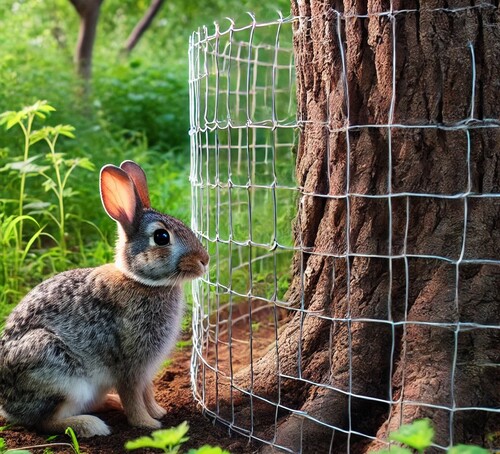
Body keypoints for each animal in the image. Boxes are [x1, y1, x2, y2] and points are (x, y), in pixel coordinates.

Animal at [0, 161, 209, 438]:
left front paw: (158, 411)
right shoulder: (130, 365)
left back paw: (110, 403)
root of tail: (7, 406)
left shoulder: (146, 370)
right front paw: (148, 424)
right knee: (45, 422)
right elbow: (133, 396)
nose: (205, 260)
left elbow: (147, 391)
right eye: (162, 237)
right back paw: (91, 425)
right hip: (58, 372)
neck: (141, 281)